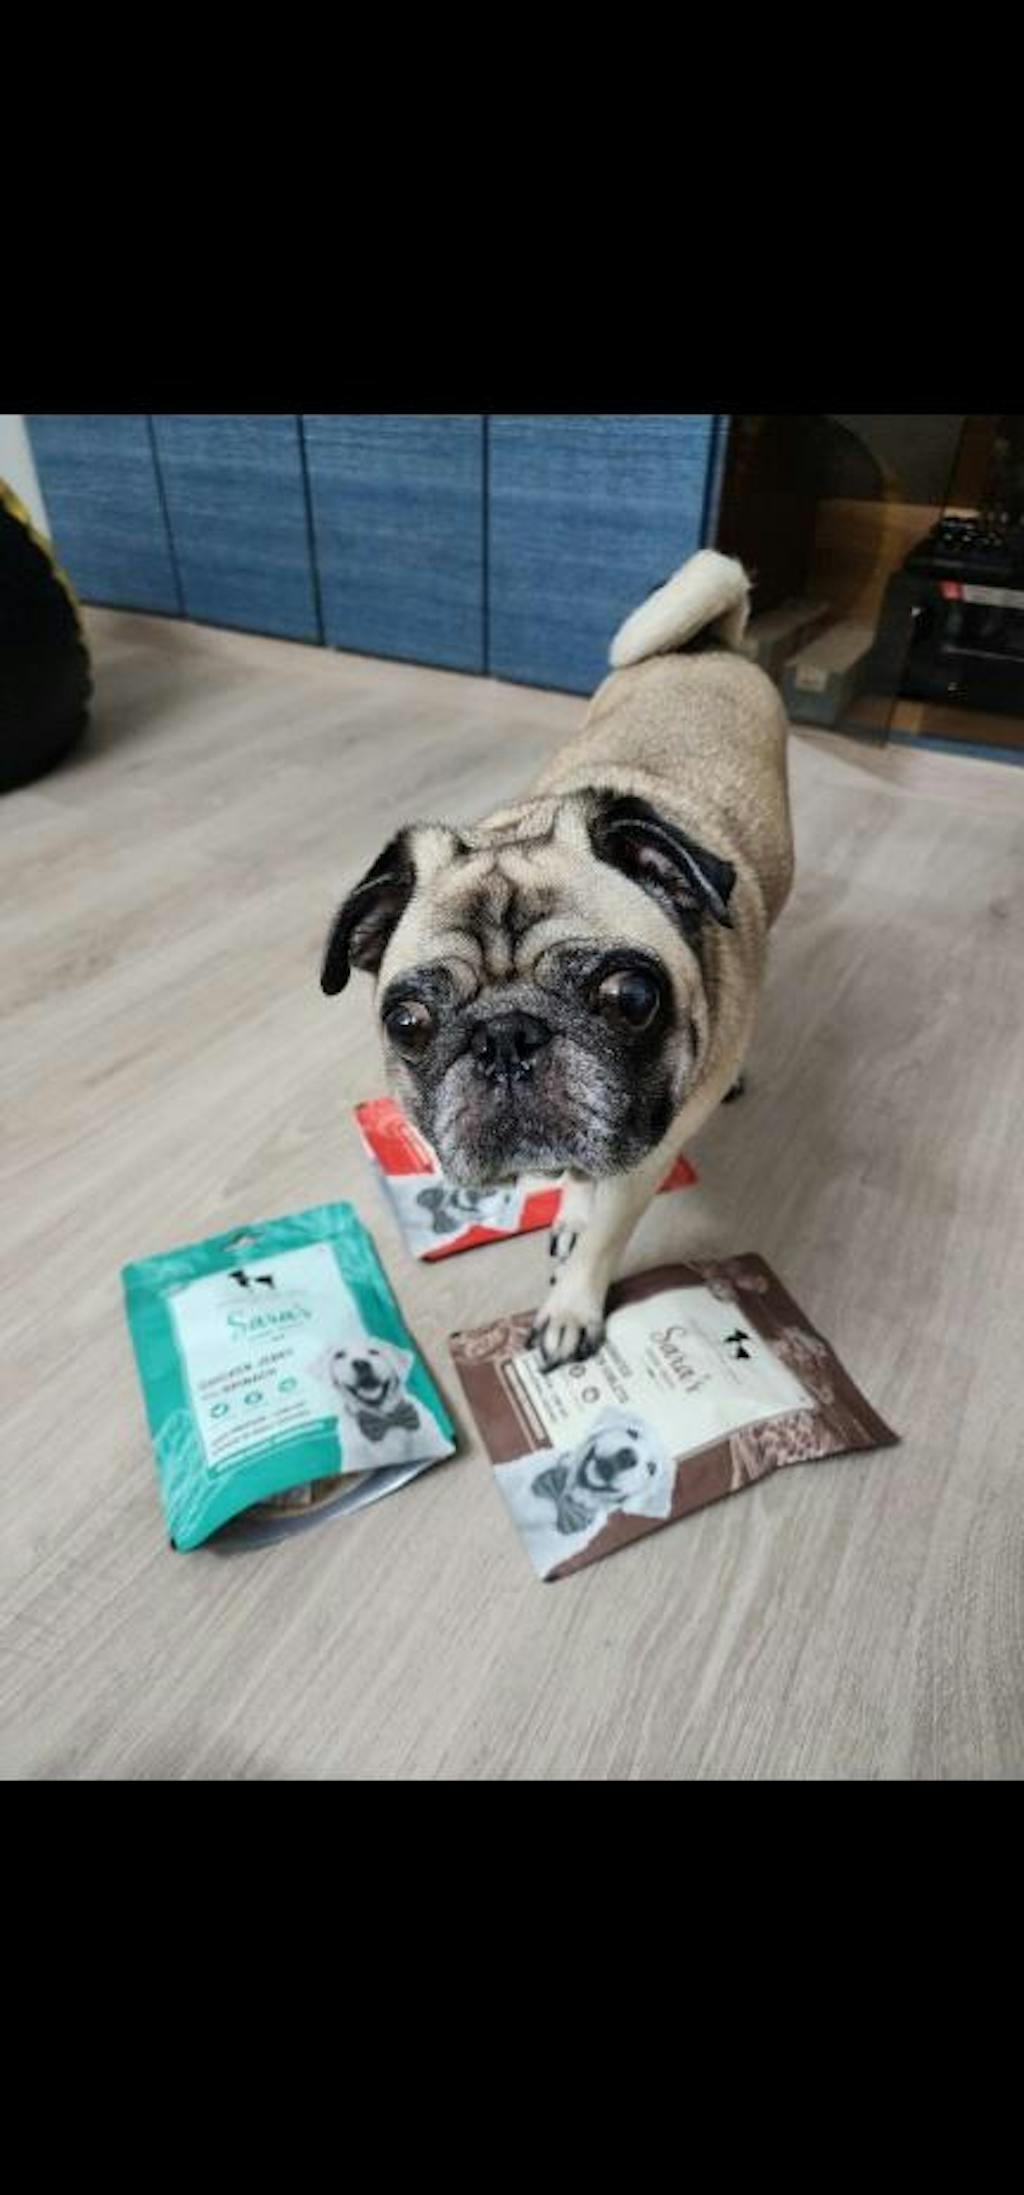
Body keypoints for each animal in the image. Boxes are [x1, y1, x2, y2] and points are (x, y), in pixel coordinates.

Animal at [321, 549, 794, 1367]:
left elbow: (605, 1234)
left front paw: (572, 1307)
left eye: (632, 998)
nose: (504, 1038)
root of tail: (704, 643)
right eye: (408, 1023)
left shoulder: (646, 1153)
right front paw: (569, 1207)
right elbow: (582, 1185)